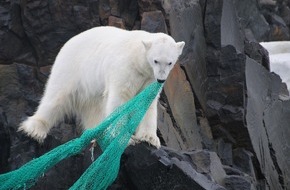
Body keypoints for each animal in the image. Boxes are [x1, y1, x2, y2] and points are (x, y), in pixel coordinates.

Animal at [18, 26, 184, 148]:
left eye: (170, 62)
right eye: (156, 60)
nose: (161, 79)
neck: (138, 59)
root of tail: (69, 41)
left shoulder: (149, 79)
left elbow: (146, 103)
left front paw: (150, 138)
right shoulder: (125, 68)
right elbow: (119, 99)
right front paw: (125, 138)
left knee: (94, 107)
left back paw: (97, 133)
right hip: (72, 67)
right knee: (56, 96)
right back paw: (35, 130)